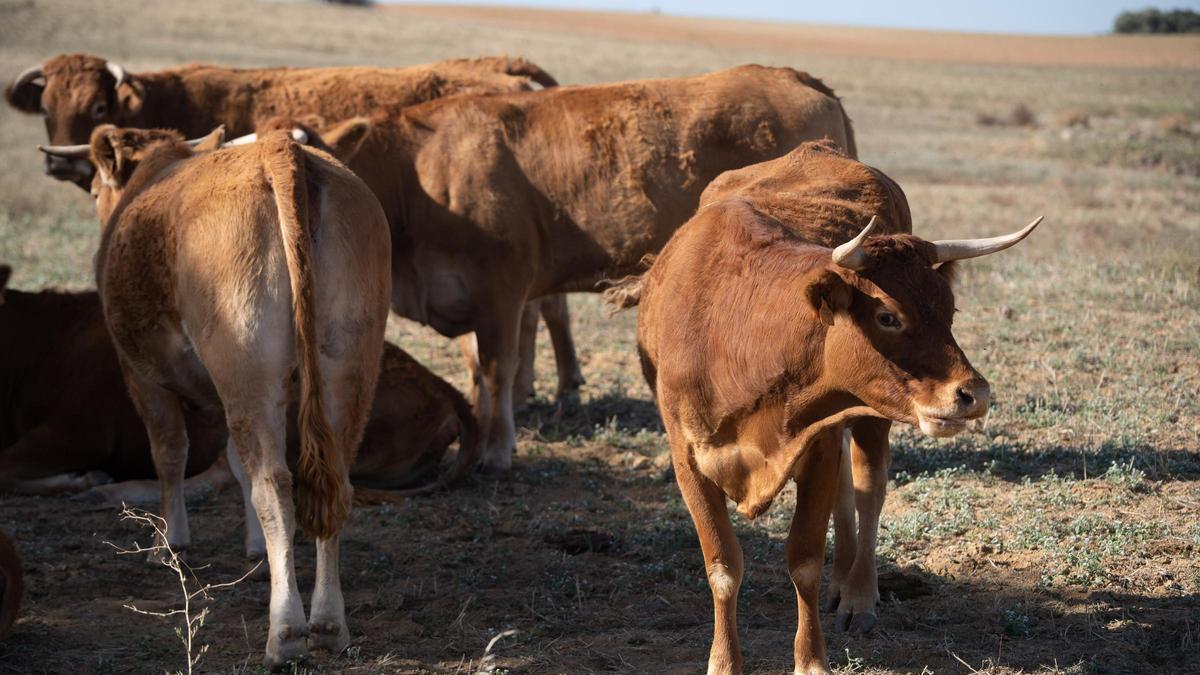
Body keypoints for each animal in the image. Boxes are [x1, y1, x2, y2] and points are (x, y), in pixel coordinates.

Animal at [38, 125, 392, 667]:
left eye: (96, 190)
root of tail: (280, 151)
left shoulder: (140, 374)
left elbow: (169, 454)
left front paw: (169, 543)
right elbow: (233, 462)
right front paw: (256, 552)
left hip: (243, 359)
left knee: (274, 486)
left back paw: (285, 632)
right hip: (348, 359)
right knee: (333, 486)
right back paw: (329, 625)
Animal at [275, 64, 858, 472]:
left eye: (307, 171)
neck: (418, 173)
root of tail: (791, 76)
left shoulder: (502, 290)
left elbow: (498, 368)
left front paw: (498, 450)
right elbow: (476, 371)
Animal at [606, 143, 1040, 674]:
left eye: (949, 310)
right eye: (888, 315)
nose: (973, 393)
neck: (736, 329)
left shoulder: (815, 448)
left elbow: (805, 561)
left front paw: (811, 659)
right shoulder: (688, 460)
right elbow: (723, 565)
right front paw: (724, 661)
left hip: (871, 417)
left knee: (868, 488)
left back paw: (857, 594)